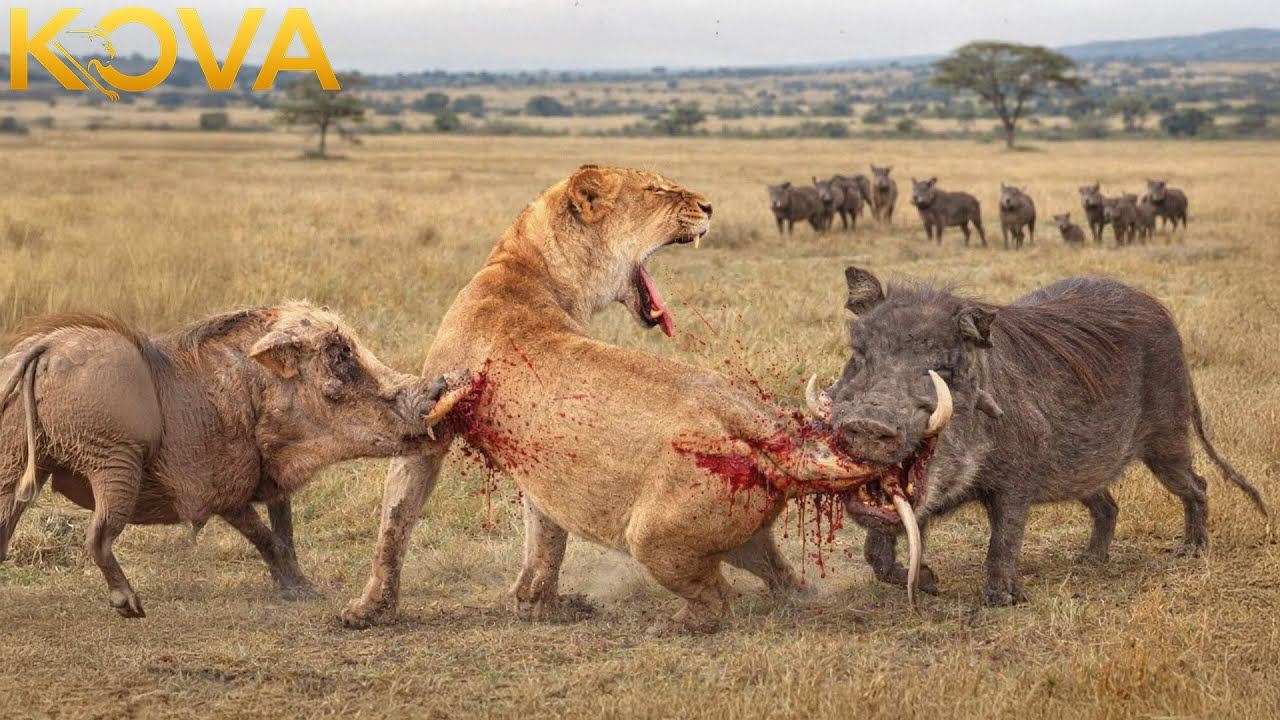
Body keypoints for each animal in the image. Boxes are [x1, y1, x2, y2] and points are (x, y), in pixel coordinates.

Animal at [341, 165, 949, 633]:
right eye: (656, 189)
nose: (708, 205)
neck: (521, 269)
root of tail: (754, 416)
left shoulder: (435, 434)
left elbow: (401, 521)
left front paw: (372, 610)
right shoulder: (528, 457)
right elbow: (534, 533)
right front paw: (536, 604)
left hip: (653, 534)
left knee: (717, 599)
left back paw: (676, 623)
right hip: (744, 528)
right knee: (782, 577)